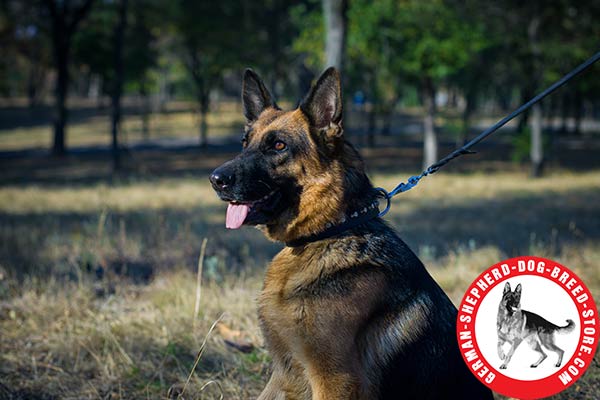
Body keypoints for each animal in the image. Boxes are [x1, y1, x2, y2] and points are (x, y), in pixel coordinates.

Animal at [211, 67, 492, 398]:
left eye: (278, 146)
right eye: (245, 142)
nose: (216, 179)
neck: (331, 231)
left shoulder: (335, 379)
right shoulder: (283, 373)